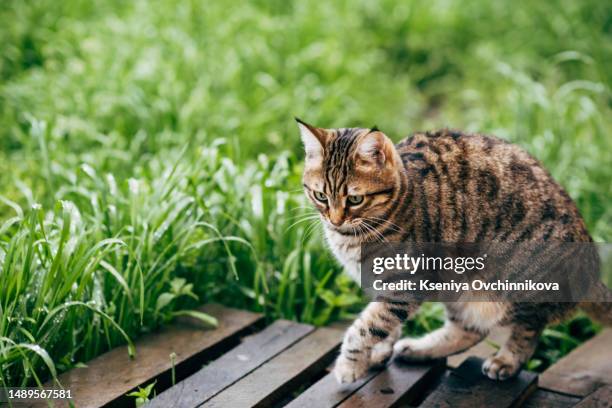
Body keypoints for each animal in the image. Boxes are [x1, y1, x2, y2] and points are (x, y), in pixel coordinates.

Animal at [296, 117, 612, 382]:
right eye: (320, 196)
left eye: (355, 199)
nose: (334, 219)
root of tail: (592, 274)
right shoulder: (382, 285)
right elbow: (383, 326)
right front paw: (376, 354)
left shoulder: (404, 284)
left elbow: (365, 328)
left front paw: (349, 366)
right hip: (461, 289)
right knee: (470, 330)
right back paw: (418, 349)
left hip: (519, 284)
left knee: (529, 328)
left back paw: (506, 361)